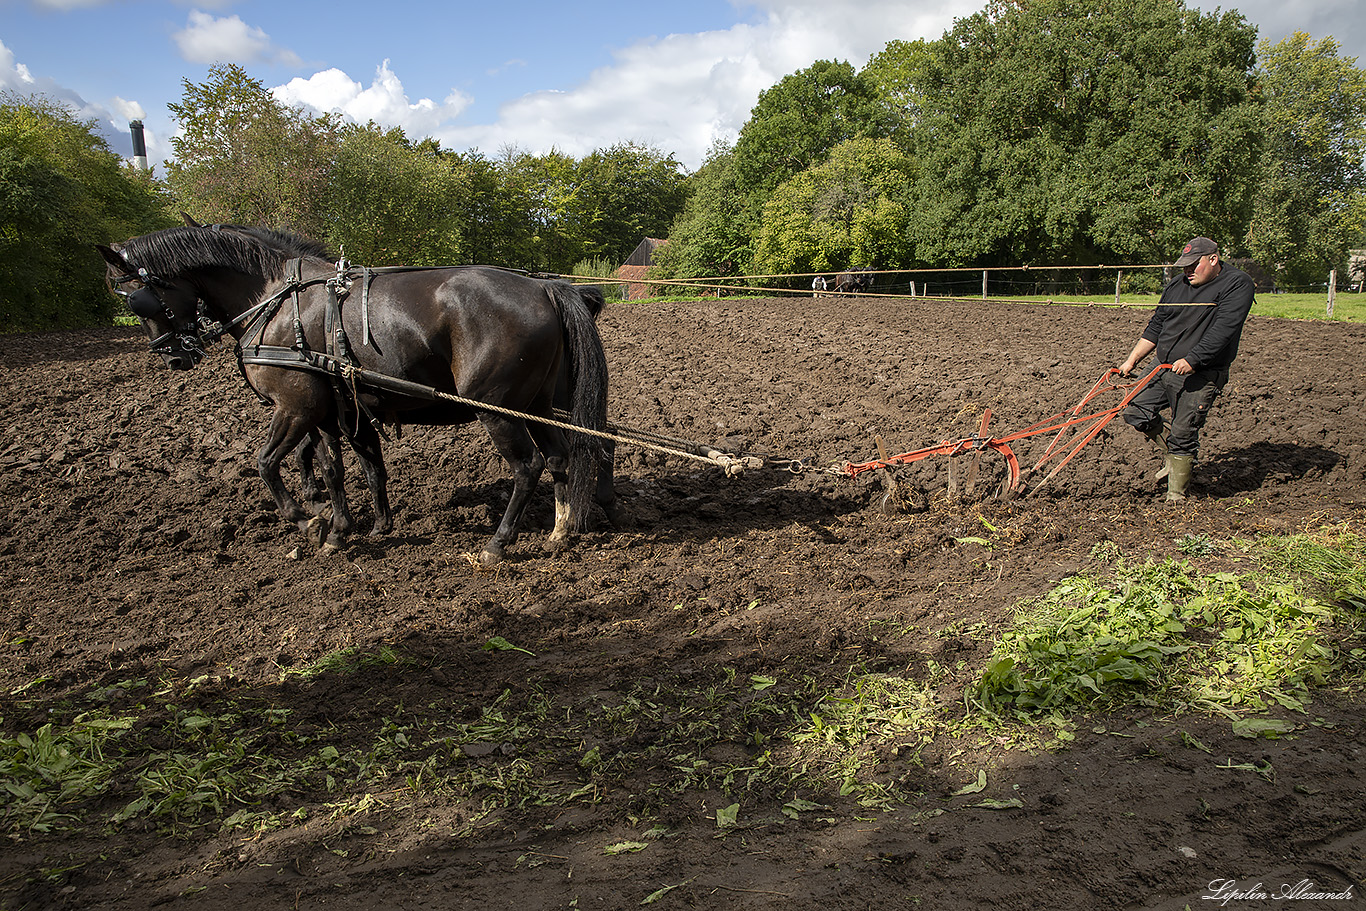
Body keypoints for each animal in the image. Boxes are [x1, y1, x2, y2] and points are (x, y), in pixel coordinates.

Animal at [96, 225, 609, 562]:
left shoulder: (295, 406)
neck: (275, 301)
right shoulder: (329, 411)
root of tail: (545, 288)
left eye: (136, 300)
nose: (172, 358)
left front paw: (309, 521)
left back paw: (497, 544)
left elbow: (266, 464)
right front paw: (349, 528)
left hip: (498, 410)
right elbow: (341, 468)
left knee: (528, 467)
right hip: (535, 405)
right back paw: (560, 531)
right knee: (559, 458)